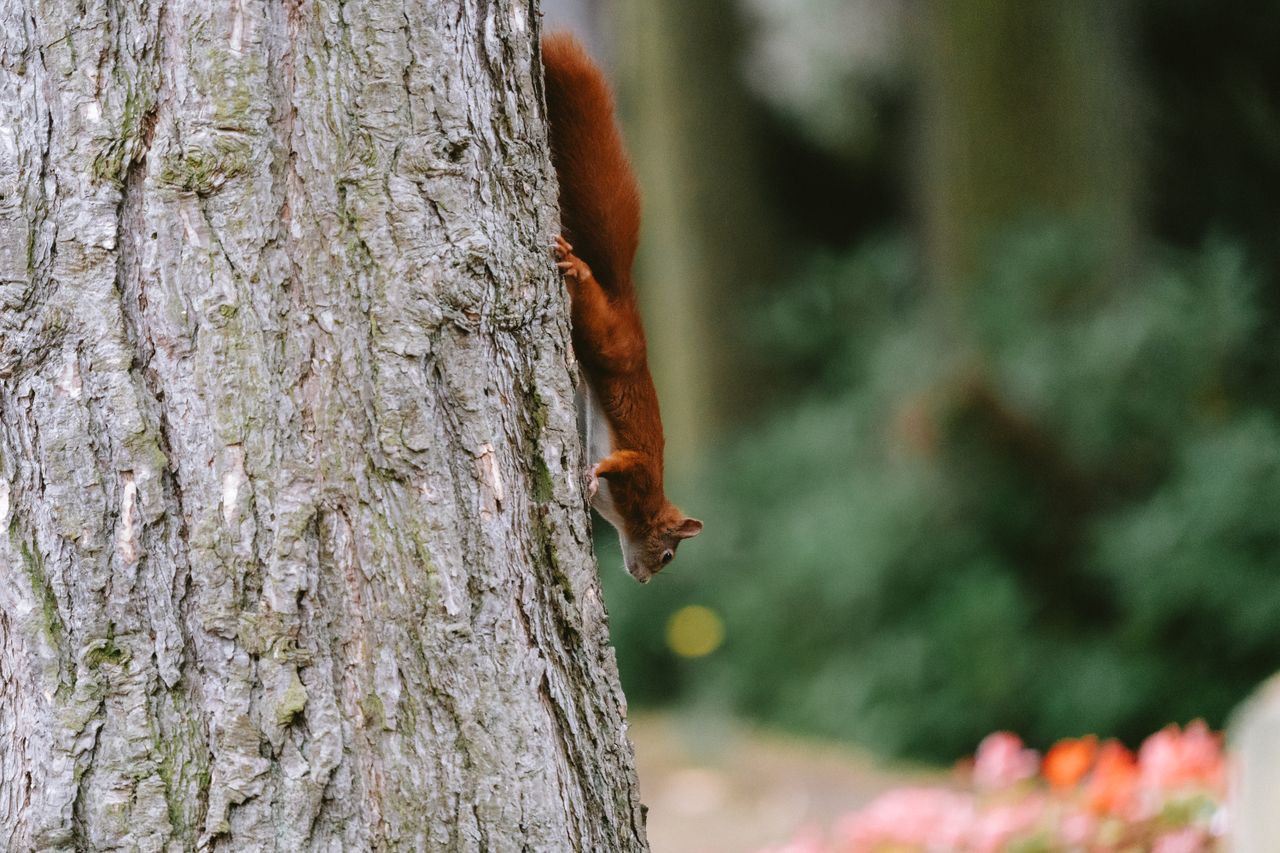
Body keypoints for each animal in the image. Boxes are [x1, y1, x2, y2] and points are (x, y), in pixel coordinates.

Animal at [542, 32, 702, 583]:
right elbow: (621, 462)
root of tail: (627, 303)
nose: (644, 577)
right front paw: (592, 474)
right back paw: (575, 268)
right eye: (669, 554)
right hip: (607, 334)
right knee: (589, 295)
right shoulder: (641, 473)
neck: (642, 512)